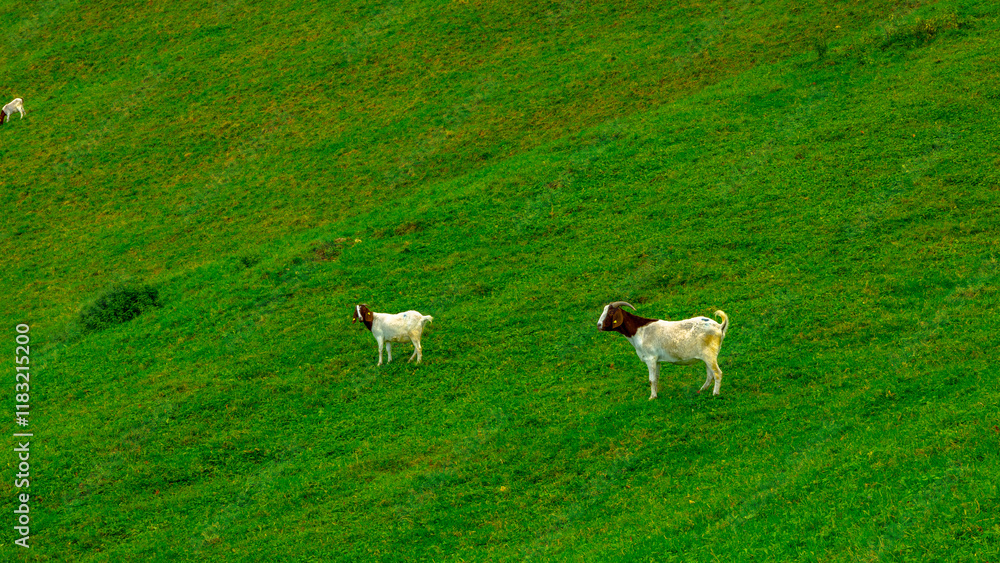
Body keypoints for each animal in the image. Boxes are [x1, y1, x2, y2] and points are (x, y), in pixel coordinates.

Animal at [598, 301, 729, 399]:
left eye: (610, 312)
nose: (599, 325)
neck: (639, 331)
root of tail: (719, 326)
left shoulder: (650, 358)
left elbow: (651, 380)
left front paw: (652, 397)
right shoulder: (657, 361)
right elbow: (656, 378)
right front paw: (655, 394)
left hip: (709, 355)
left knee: (717, 373)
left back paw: (715, 393)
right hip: (707, 356)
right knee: (710, 375)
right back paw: (701, 390)